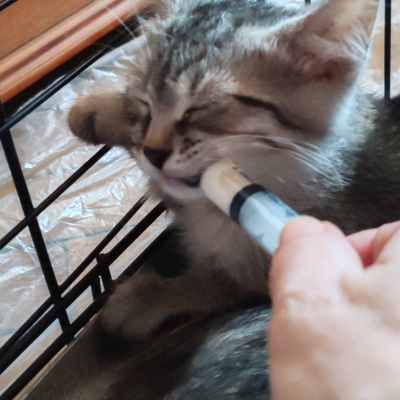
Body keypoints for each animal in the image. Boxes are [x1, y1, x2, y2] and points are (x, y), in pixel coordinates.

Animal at [66, 0, 400, 397]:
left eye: (200, 108)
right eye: (146, 104)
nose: (155, 151)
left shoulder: (257, 277)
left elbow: (211, 283)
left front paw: (146, 299)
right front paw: (100, 111)